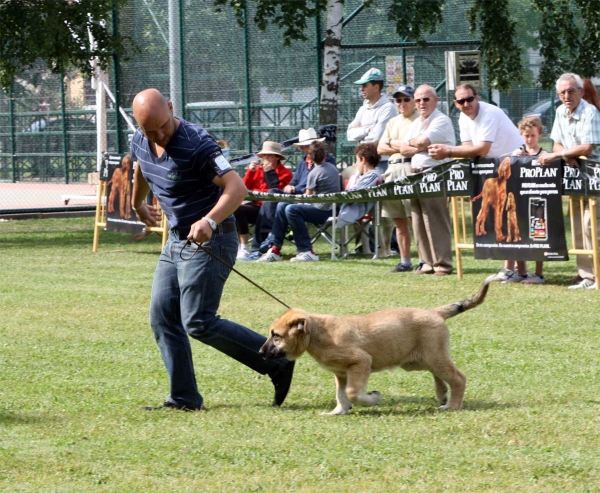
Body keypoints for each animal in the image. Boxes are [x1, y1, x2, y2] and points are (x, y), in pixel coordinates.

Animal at [260, 274, 494, 414]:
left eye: (276, 336)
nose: (260, 352)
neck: (317, 333)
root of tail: (434, 312)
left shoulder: (361, 362)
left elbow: (353, 392)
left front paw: (373, 398)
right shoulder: (341, 373)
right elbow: (341, 395)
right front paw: (338, 411)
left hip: (434, 356)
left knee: (458, 378)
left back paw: (453, 405)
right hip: (421, 360)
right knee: (441, 376)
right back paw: (443, 394)